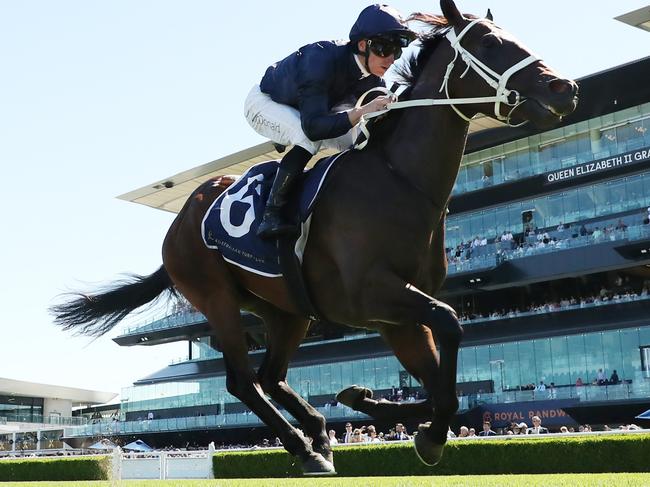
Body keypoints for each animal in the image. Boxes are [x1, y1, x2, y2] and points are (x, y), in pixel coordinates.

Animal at [53, 0, 576, 472]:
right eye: (488, 43)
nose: (564, 88)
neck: (398, 181)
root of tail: (181, 221)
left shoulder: (398, 314)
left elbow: (437, 383)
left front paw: (380, 407)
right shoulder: (372, 296)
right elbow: (450, 326)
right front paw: (420, 431)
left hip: (286, 309)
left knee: (272, 376)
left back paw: (319, 433)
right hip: (215, 296)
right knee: (244, 381)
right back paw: (303, 447)